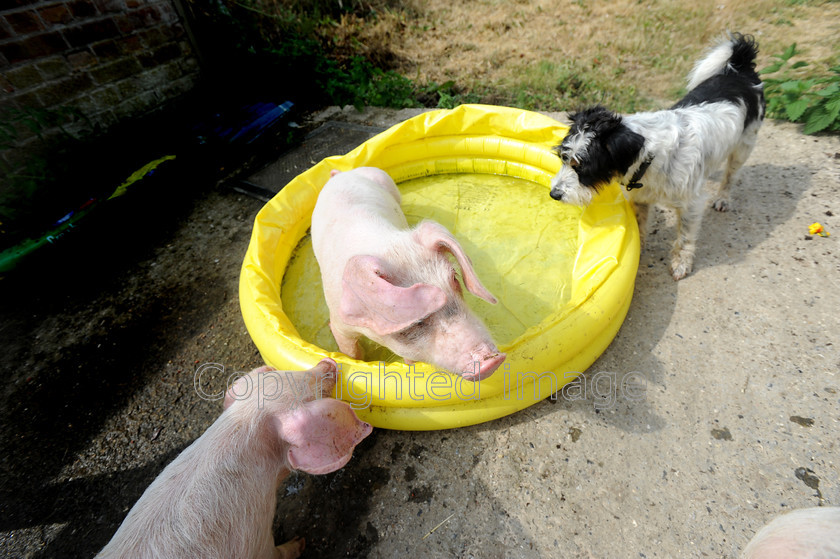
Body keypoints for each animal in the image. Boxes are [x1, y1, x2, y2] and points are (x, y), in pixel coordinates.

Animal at [96, 358, 370, 559]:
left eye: (285, 371)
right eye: (312, 394)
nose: (327, 361)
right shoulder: (257, 537)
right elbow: (278, 553)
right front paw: (300, 542)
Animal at [310, 166, 502, 382]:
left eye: (454, 278)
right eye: (414, 322)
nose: (491, 360)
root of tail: (341, 174)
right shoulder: (339, 322)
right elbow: (350, 352)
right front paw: (356, 360)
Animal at [548, 33, 764, 280]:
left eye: (583, 168)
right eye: (563, 158)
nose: (554, 194)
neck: (652, 160)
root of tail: (741, 69)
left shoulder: (692, 204)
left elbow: (685, 238)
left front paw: (681, 263)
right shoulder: (641, 199)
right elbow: (639, 226)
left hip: (745, 145)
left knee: (731, 175)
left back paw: (724, 198)